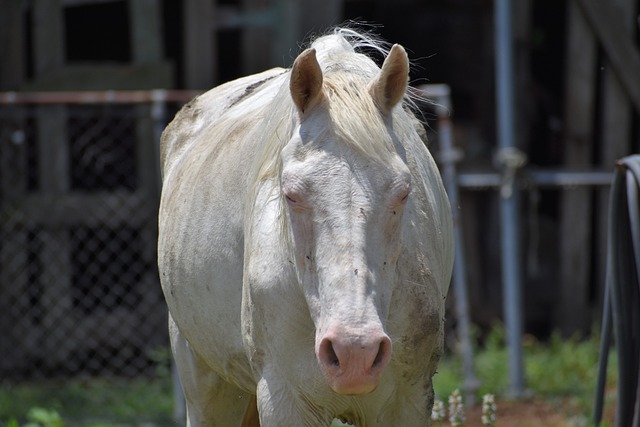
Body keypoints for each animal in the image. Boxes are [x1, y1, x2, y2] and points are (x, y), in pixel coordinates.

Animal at [157, 28, 452, 426]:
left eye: (404, 191)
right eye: (291, 194)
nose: (355, 352)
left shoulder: (407, 402)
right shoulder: (285, 401)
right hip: (203, 384)